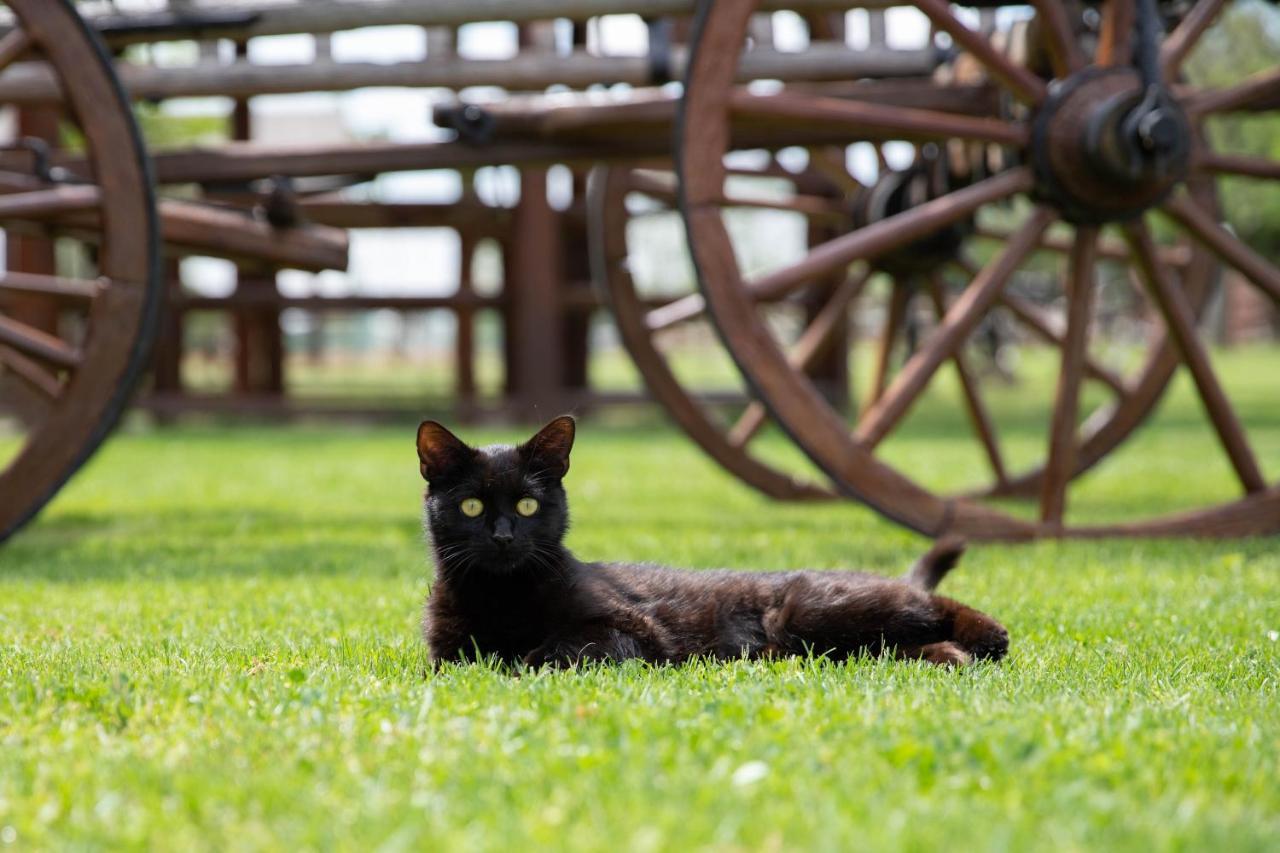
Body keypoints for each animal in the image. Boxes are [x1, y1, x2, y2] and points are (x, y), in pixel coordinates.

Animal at [419, 414, 1008, 666]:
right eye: (471, 505)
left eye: (527, 505)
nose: (502, 536)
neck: (503, 595)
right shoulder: (446, 653)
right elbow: (466, 658)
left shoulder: (632, 630)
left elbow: (555, 649)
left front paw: (524, 656)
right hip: (839, 643)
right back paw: (953, 655)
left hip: (814, 611)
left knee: (927, 601)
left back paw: (989, 635)